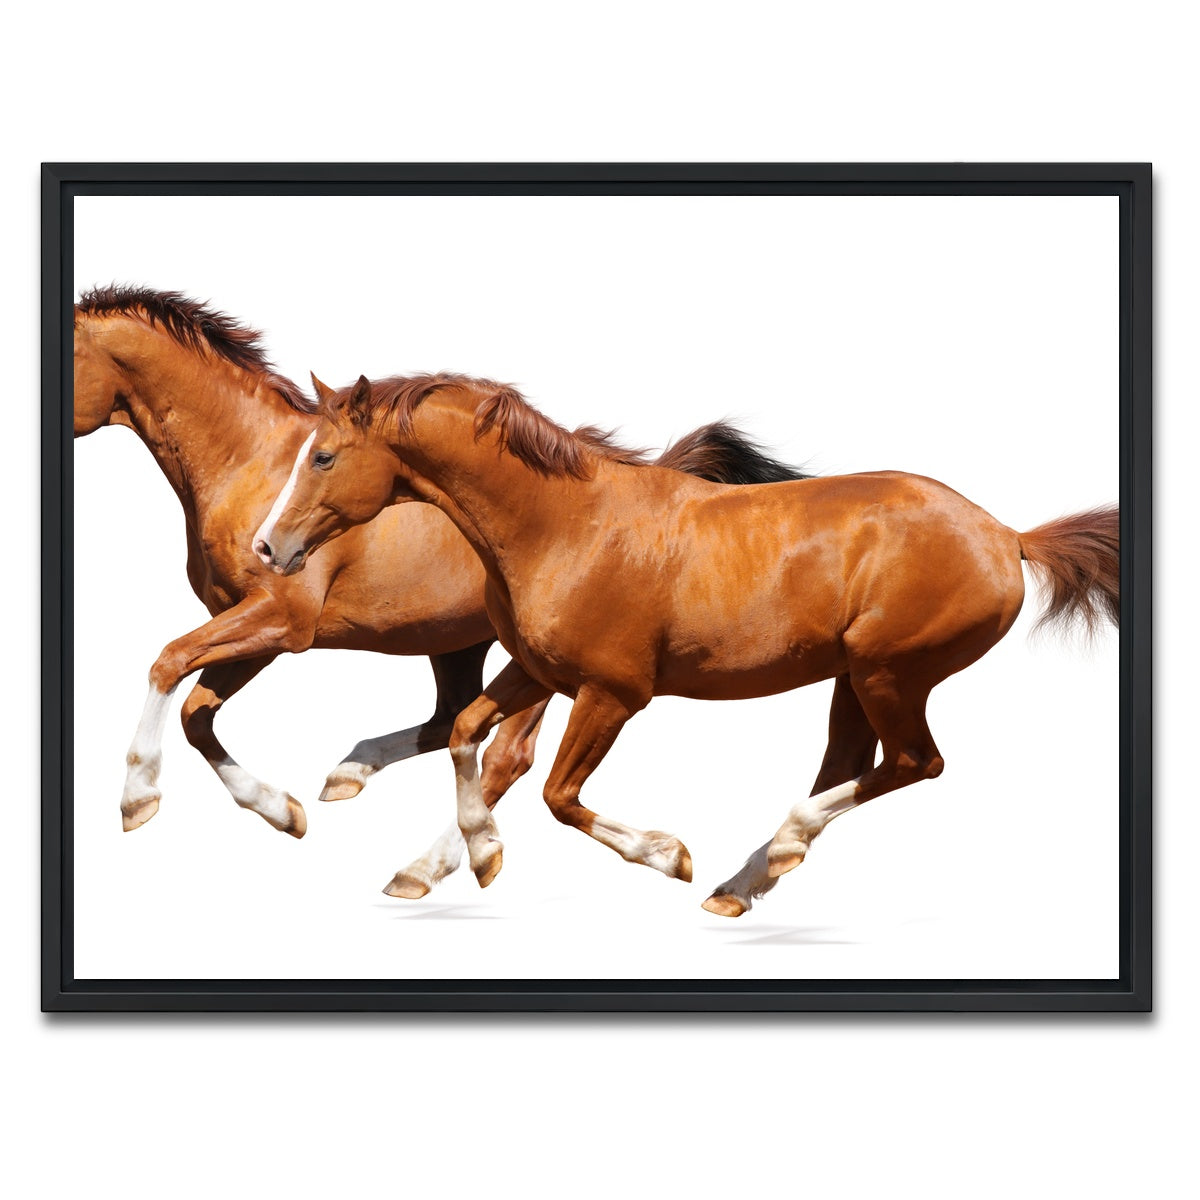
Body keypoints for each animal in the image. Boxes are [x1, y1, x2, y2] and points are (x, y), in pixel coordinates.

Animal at [74, 287, 804, 897]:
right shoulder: (255, 628)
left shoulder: (281, 620)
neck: (250, 462)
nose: (270, 548)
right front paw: (284, 812)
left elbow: (169, 663)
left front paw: (137, 799)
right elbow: (198, 712)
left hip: (544, 670)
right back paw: (362, 786)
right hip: (461, 647)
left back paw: (434, 862)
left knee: (506, 756)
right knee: (451, 723)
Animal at [254, 372, 1120, 917]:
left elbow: (558, 795)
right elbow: (469, 733)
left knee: (915, 763)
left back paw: (770, 853)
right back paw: (745, 881)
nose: (268, 547)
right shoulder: (539, 672)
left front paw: (667, 856)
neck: (562, 526)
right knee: (854, 763)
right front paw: (480, 854)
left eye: (323, 455)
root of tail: (1007, 536)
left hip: (890, 673)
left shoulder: (613, 693)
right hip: (855, 678)